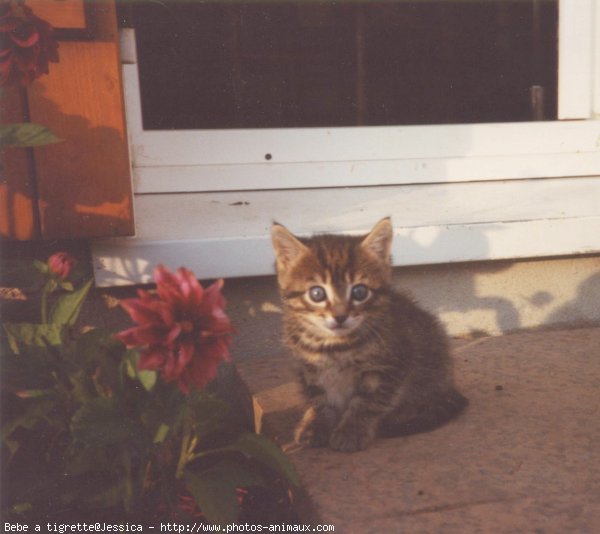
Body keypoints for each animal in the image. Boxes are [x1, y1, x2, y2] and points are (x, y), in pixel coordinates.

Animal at [272, 220, 468, 454]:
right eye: (317, 294)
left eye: (359, 292)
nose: (340, 316)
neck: (334, 346)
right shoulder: (307, 368)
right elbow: (319, 399)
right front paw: (317, 423)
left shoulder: (389, 366)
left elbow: (367, 403)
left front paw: (351, 431)